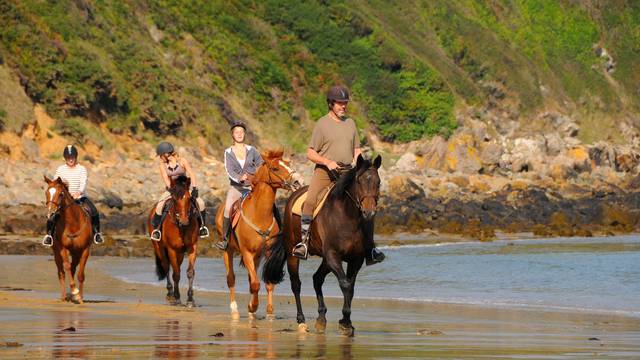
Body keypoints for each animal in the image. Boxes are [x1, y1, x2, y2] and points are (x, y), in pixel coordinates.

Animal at [148, 174, 200, 306]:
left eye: (189, 198)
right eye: (174, 199)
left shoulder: (192, 247)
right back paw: (170, 294)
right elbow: (176, 274)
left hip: (180, 253)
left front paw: (190, 299)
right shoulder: (171, 249)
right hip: (160, 248)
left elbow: (190, 272)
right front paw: (176, 297)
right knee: (167, 267)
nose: (184, 221)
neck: (181, 227)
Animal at [215, 150, 302, 320]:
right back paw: (234, 309)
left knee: (251, 279)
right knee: (231, 278)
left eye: (288, 164)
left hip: (257, 256)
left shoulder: (267, 253)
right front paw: (252, 306)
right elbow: (255, 283)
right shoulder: (247, 253)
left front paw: (269, 311)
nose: (297, 180)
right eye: (275, 168)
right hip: (228, 251)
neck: (259, 214)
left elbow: (266, 282)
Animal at [264, 155, 382, 338]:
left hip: (325, 260)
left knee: (317, 278)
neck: (347, 217)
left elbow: (351, 287)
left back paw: (321, 319)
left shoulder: (355, 259)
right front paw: (345, 322)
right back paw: (301, 321)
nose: (369, 213)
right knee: (296, 284)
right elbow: (345, 284)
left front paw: (346, 323)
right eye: (359, 181)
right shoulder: (333, 255)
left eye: (378, 182)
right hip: (293, 254)